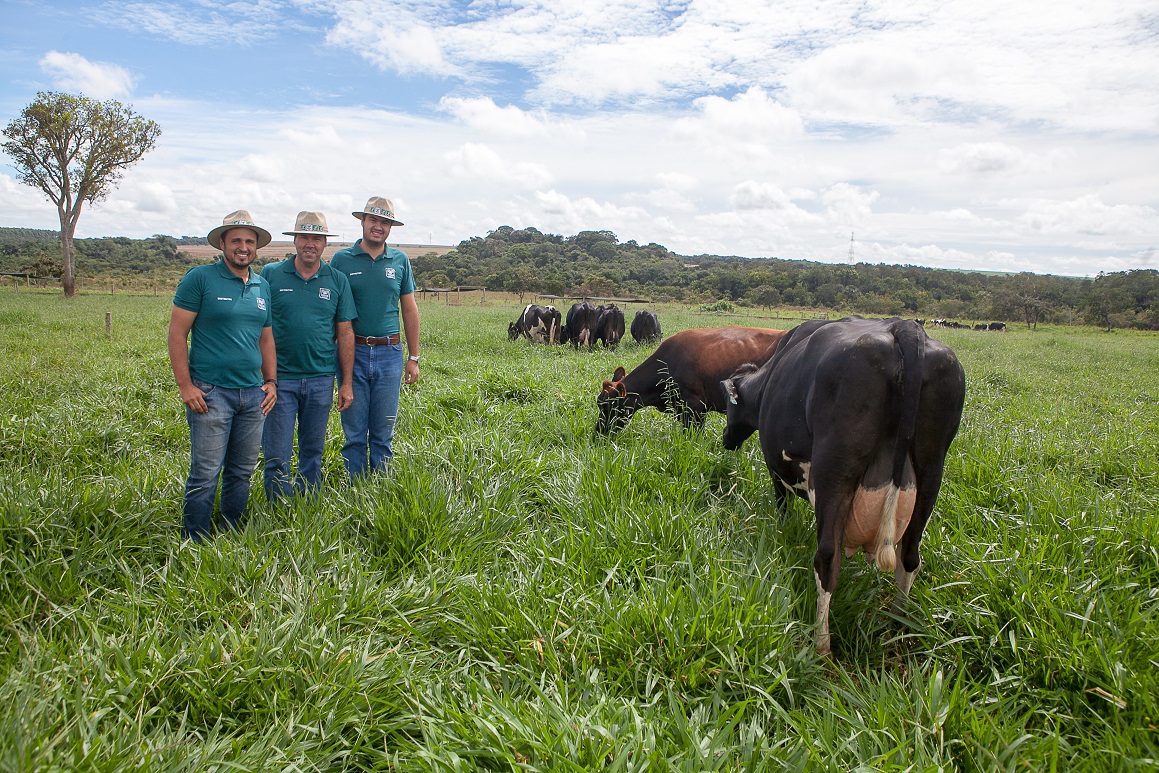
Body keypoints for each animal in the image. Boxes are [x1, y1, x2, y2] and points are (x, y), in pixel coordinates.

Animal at [718, 317, 964, 658]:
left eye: (729, 408)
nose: (726, 438)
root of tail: (903, 328)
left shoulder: (776, 467)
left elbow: (782, 505)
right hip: (931, 473)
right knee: (910, 556)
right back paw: (898, 626)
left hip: (834, 471)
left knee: (827, 559)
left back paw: (821, 645)